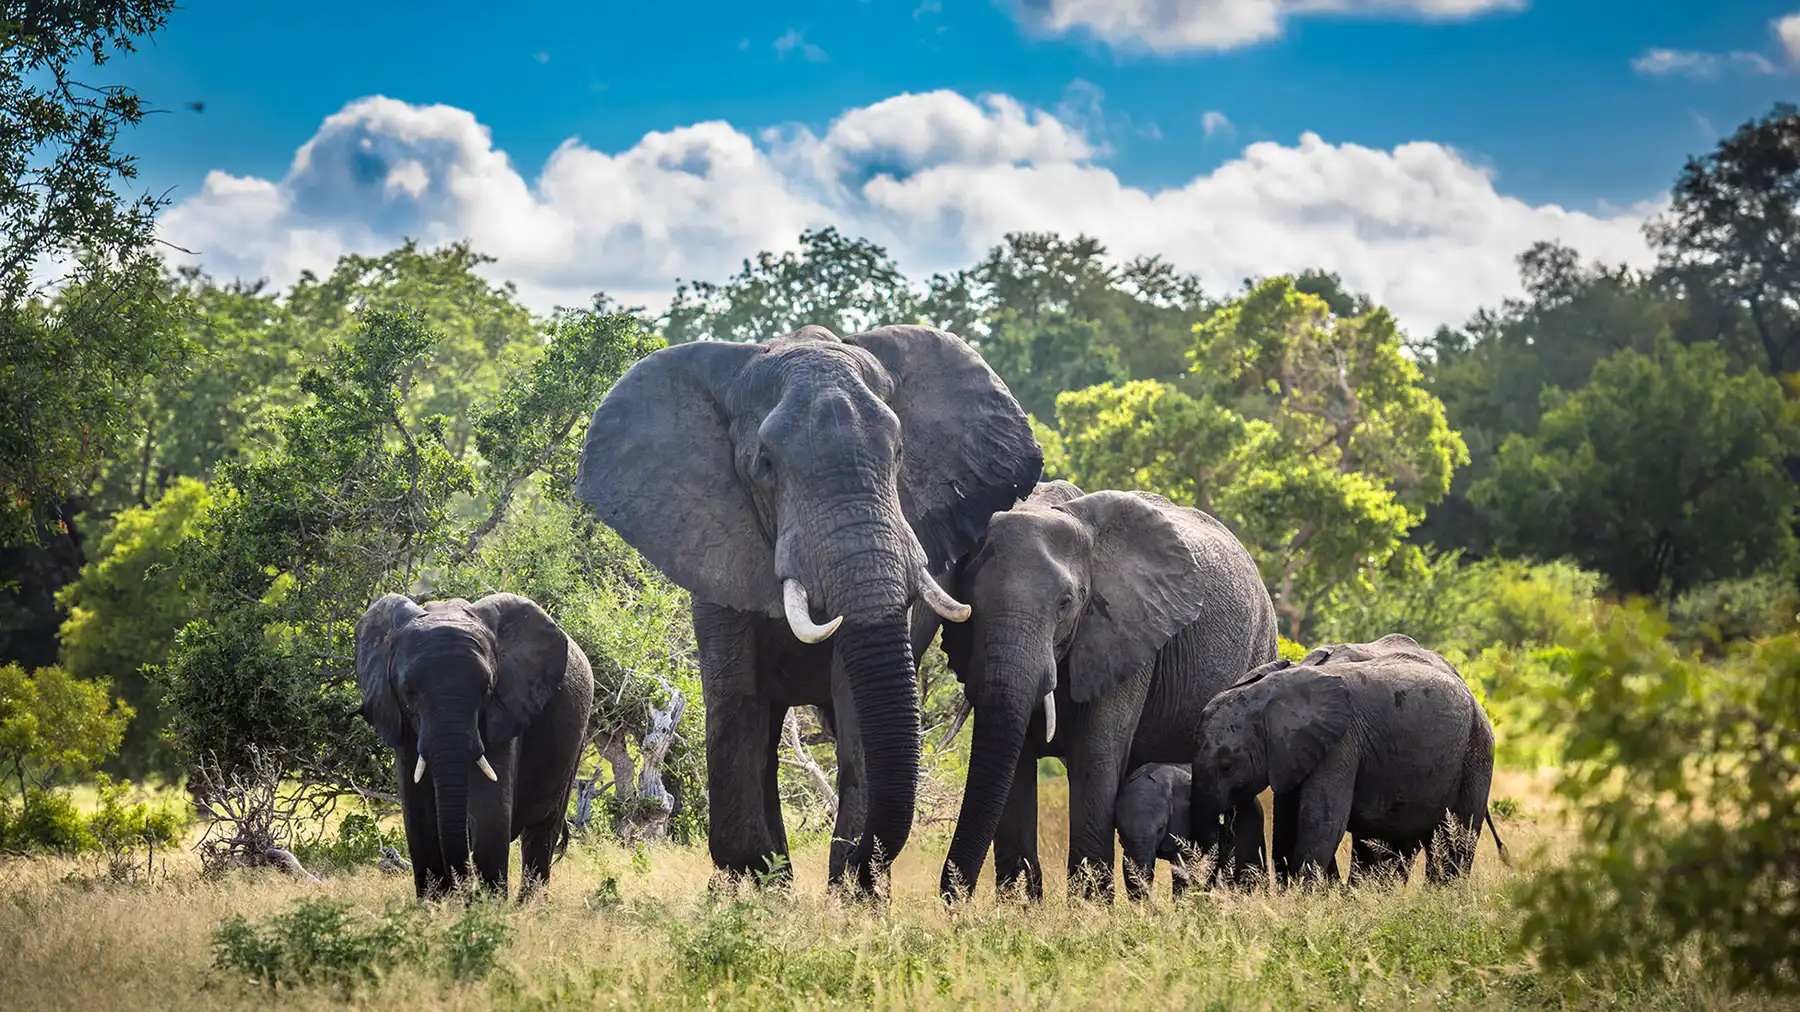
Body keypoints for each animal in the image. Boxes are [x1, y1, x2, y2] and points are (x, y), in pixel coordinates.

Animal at [355, 592, 595, 901]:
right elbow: (418, 814)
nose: (463, 893)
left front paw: (487, 906)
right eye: (408, 692)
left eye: (487, 690)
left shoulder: (507, 711)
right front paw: (433, 905)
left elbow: (490, 811)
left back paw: (529, 906)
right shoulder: (402, 726)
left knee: (542, 830)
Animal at [573, 324, 1040, 893]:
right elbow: (738, 705)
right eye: (764, 464)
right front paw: (761, 888)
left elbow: (857, 710)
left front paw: (851, 894)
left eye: (899, 451)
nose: (862, 864)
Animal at [1190, 634, 1507, 888]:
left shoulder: (1340, 744)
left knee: (1455, 839)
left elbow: (1321, 820)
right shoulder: (1294, 752)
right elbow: (1287, 822)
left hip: (1476, 753)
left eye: (1227, 766)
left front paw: (1306, 899)